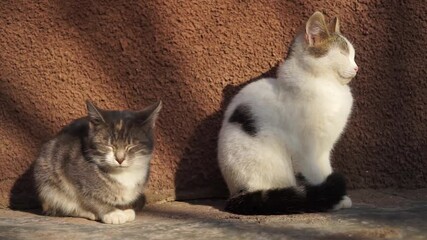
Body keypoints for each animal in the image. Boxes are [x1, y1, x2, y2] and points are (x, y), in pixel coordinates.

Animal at [33, 99, 162, 223]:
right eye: (108, 145)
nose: (120, 158)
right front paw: (111, 212)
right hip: (46, 177)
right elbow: (90, 197)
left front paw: (124, 209)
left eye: (132, 145)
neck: (122, 174)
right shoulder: (70, 168)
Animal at [217, 11, 358, 215]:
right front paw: (333, 200)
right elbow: (317, 175)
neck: (327, 85)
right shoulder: (307, 151)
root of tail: (236, 194)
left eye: (353, 55)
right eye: (342, 53)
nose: (357, 67)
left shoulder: (324, 149)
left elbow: (325, 171)